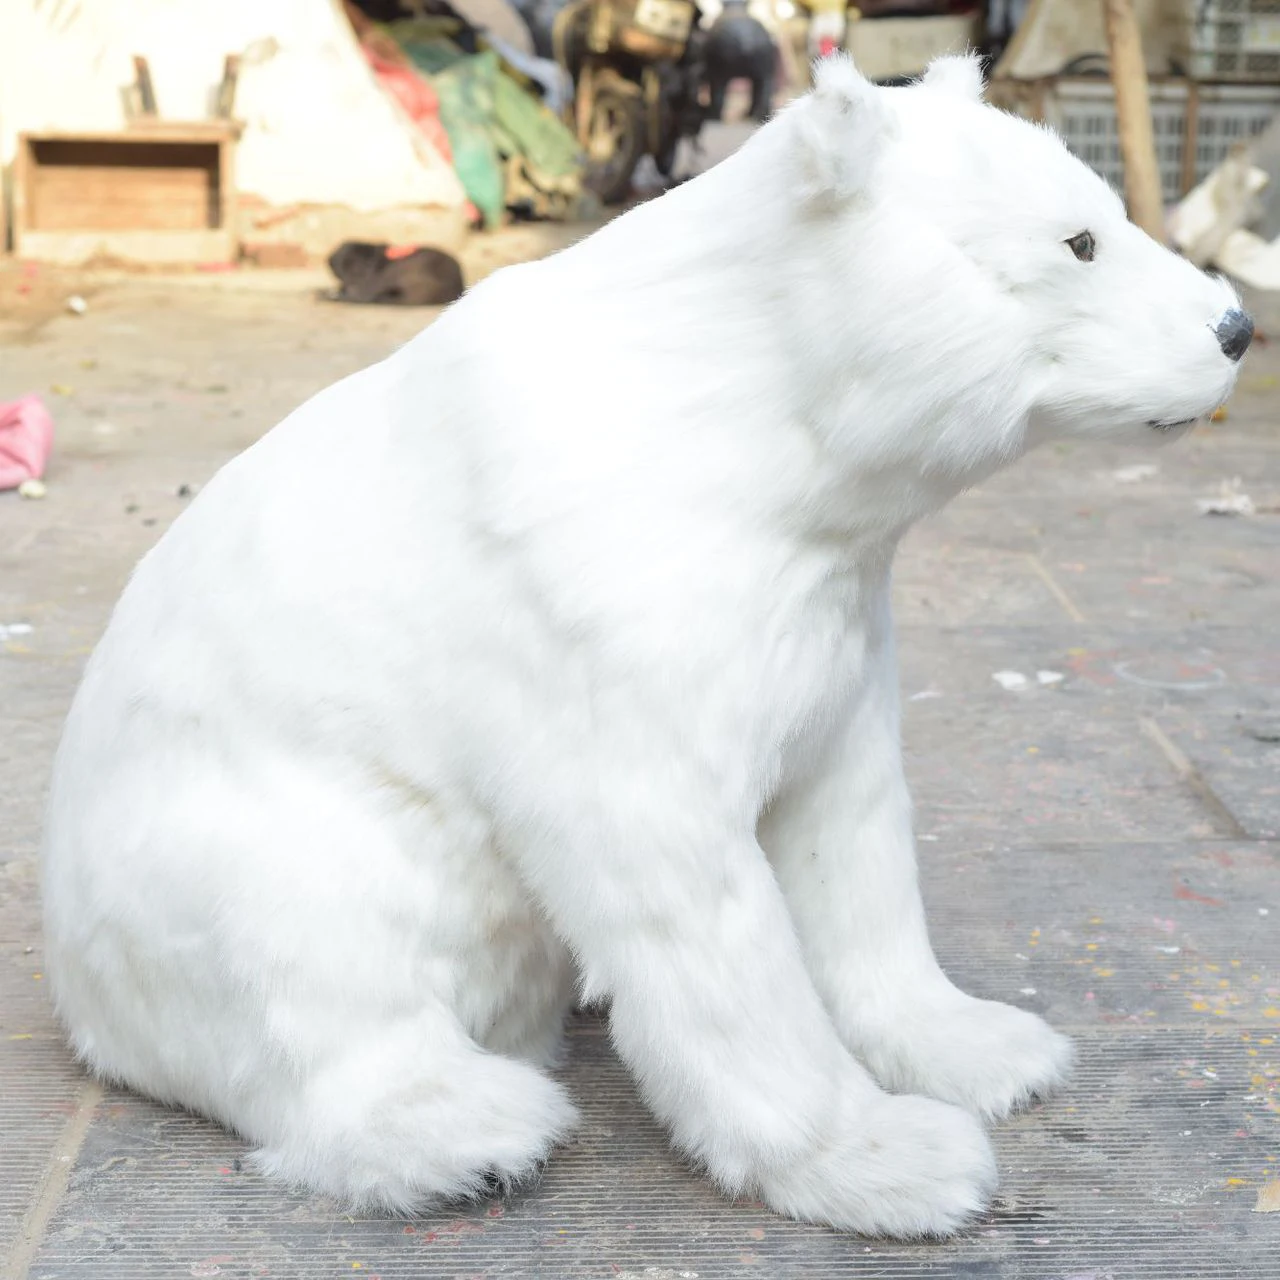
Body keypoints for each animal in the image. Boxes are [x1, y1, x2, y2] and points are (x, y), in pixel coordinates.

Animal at [40, 54, 1250, 1238]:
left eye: (1111, 212)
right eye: (1079, 241)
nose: (1235, 330)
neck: (719, 416)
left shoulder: (828, 623)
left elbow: (850, 838)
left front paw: (983, 1048)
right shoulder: (594, 618)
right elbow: (684, 898)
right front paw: (885, 1158)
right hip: (231, 842)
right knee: (315, 956)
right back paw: (468, 1128)